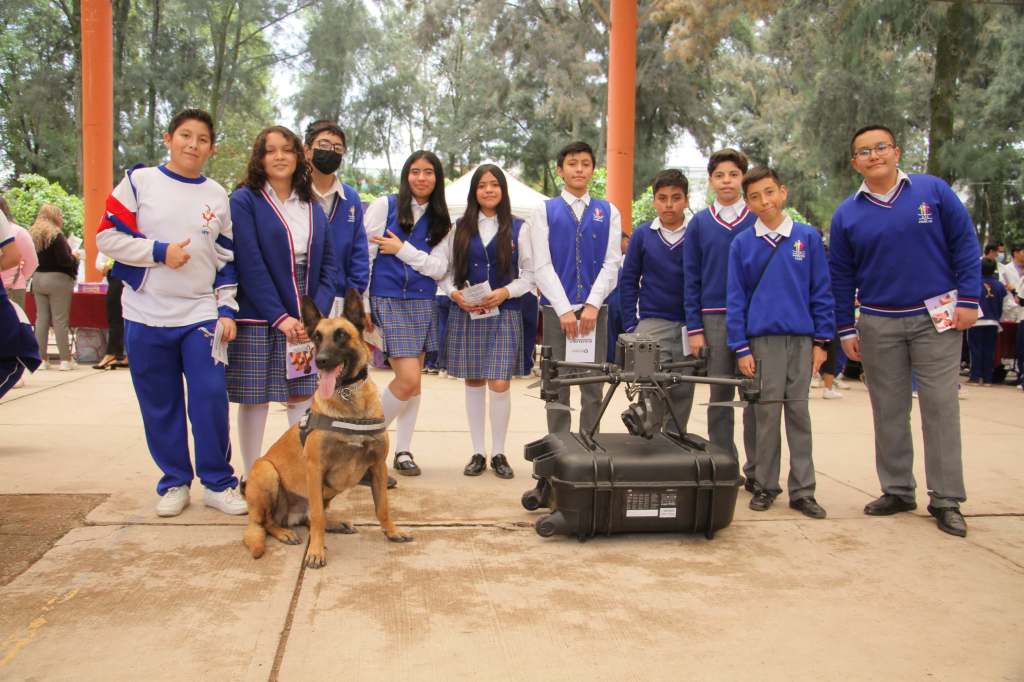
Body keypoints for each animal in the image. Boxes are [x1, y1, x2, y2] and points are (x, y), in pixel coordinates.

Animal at [243, 289, 412, 568]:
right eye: (316, 338)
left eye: (341, 335)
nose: (320, 361)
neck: (348, 398)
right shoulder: (315, 468)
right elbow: (318, 517)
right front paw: (316, 551)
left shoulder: (377, 466)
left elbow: (382, 507)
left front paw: (392, 532)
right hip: (266, 470)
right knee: (269, 522)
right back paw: (286, 533)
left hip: (330, 488)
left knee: (307, 517)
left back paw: (336, 523)